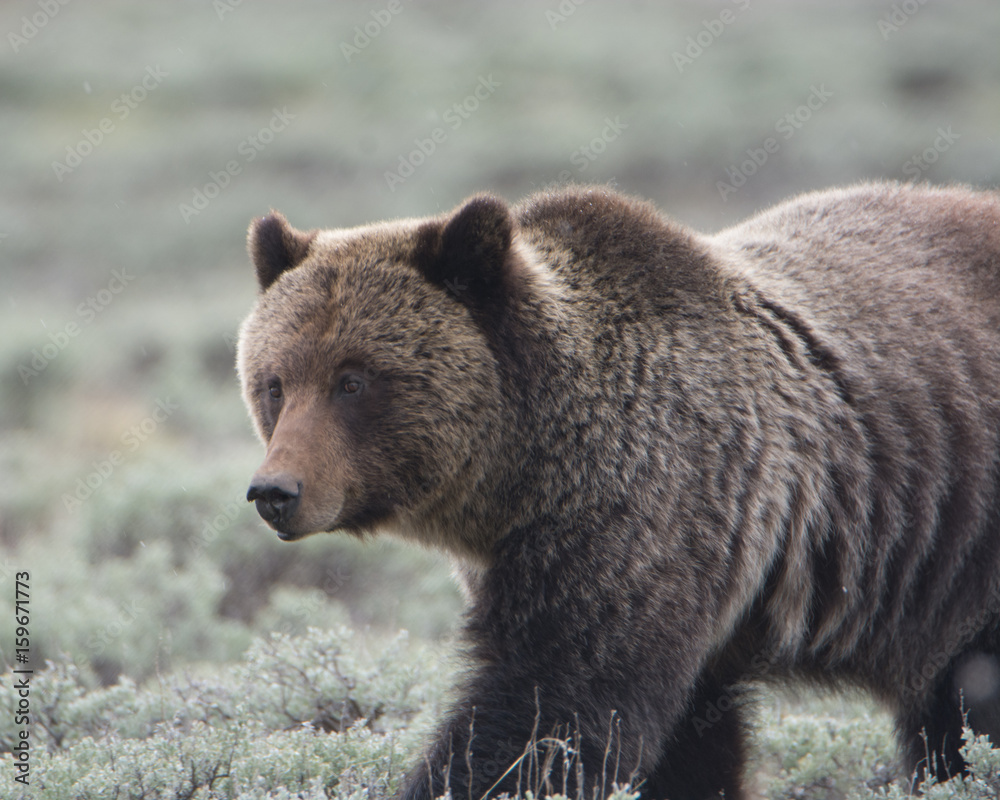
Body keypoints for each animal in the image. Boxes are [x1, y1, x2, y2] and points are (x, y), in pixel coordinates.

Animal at [237, 181, 1000, 799]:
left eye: (353, 380)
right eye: (274, 382)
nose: (275, 490)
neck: (523, 475)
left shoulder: (647, 512)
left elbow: (551, 709)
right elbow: (685, 743)